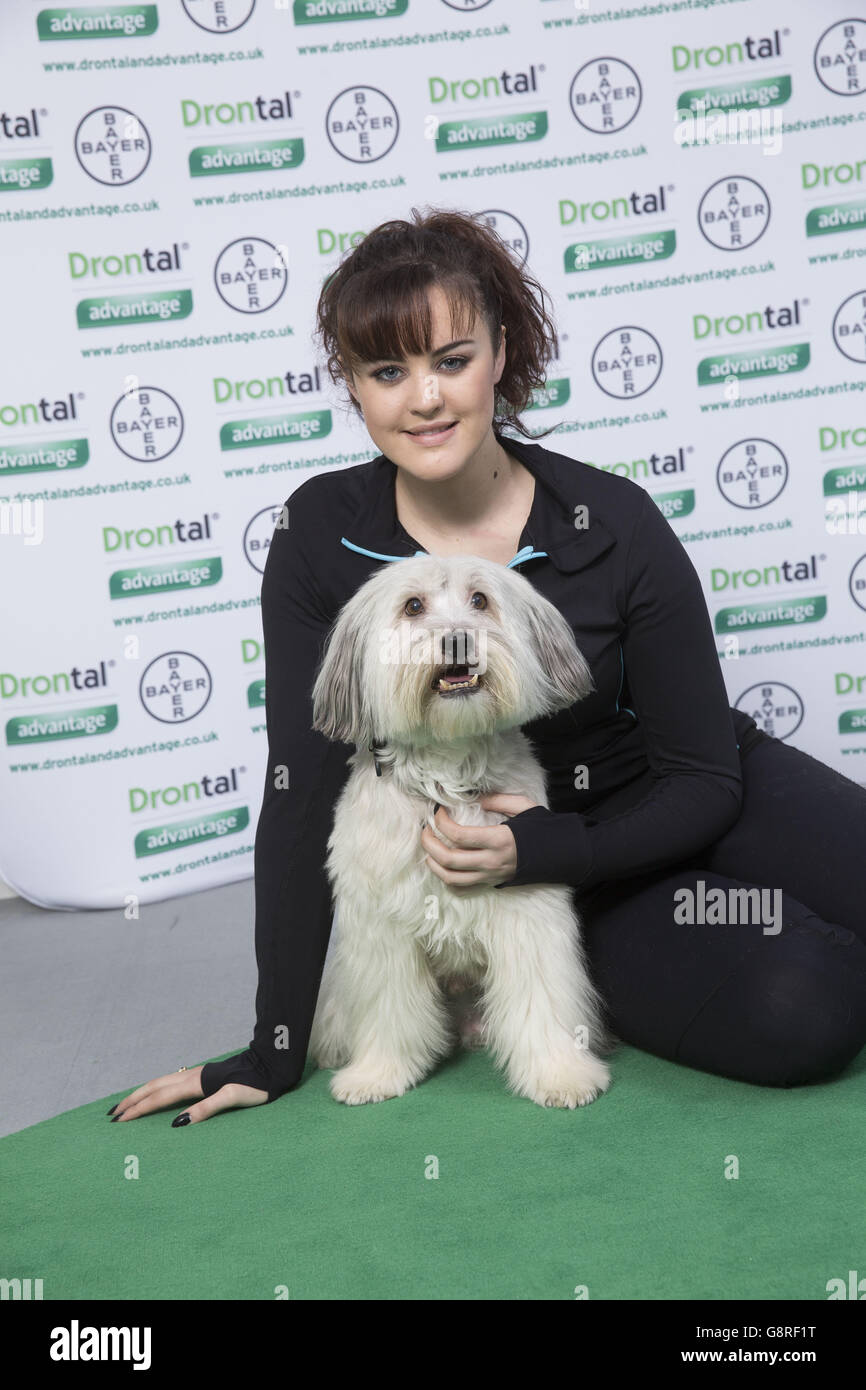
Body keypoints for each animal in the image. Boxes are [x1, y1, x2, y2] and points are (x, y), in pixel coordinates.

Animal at [308, 553, 614, 1106]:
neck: (447, 775)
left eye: (479, 600)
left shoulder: (529, 910)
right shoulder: (382, 928)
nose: (457, 640)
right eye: (412, 606)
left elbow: (542, 998)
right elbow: (388, 1009)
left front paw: (560, 1073)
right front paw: (378, 1073)